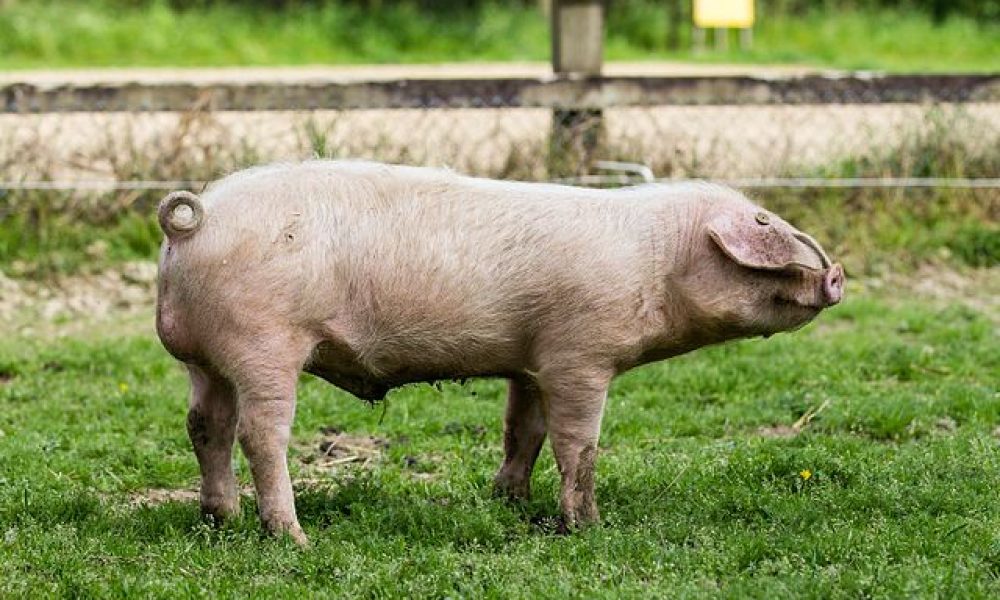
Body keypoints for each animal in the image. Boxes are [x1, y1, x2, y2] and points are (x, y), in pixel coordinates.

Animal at [155, 160, 844, 545]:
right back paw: (293, 538)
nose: (837, 275)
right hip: (264, 342)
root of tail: (195, 219)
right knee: (259, 434)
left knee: (205, 426)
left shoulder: (532, 361)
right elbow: (579, 444)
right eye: (765, 225)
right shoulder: (580, 353)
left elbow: (523, 431)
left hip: (202, 359)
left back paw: (222, 520)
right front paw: (586, 527)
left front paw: (508, 501)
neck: (660, 260)